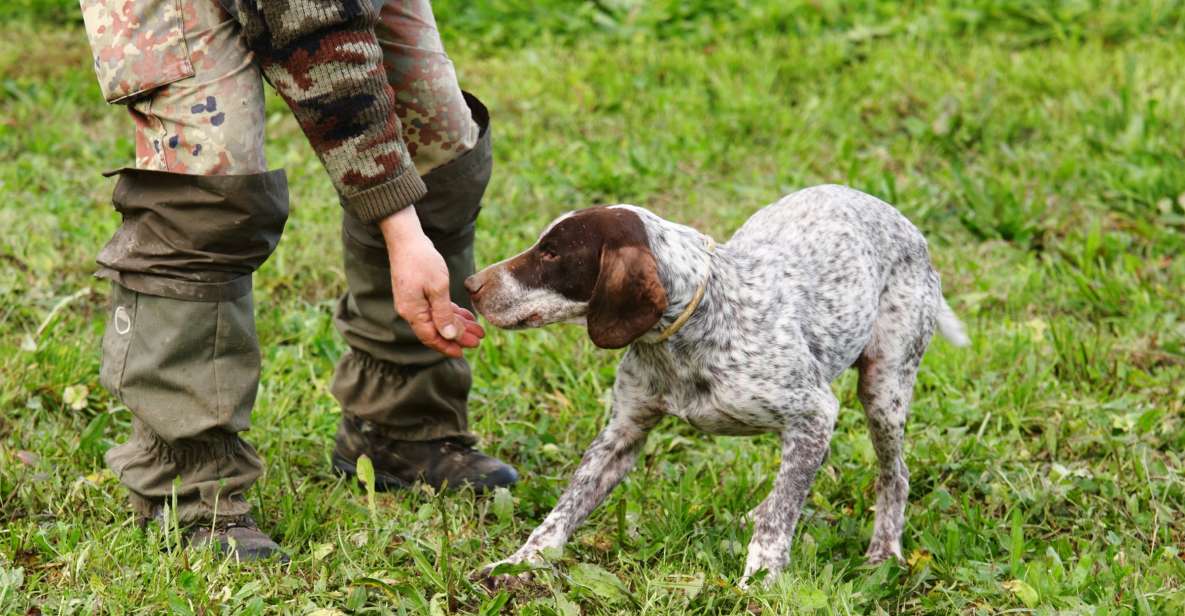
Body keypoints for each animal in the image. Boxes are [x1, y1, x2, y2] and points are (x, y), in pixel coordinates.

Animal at [457, 183, 966, 587]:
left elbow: (779, 520)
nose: (471, 284)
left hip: (884, 389)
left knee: (893, 475)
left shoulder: (814, 413)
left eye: (552, 254)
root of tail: (903, 222)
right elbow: (563, 509)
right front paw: (520, 561)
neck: (687, 333)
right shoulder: (622, 433)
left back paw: (884, 551)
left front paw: (761, 580)